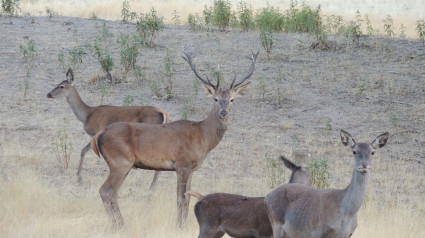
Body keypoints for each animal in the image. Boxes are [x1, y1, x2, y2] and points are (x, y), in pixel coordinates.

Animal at [89, 48, 258, 227]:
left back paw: (120, 223)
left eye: (232, 99)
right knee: (105, 191)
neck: (203, 137)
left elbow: (189, 198)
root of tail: (98, 135)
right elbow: (180, 199)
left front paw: (185, 223)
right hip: (120, 162)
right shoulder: (182, 164)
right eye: (215, 99)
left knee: (112, 193)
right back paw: (117, 225)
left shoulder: (192, 168)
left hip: (123, 165)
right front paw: (179, 225)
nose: (223, 112)